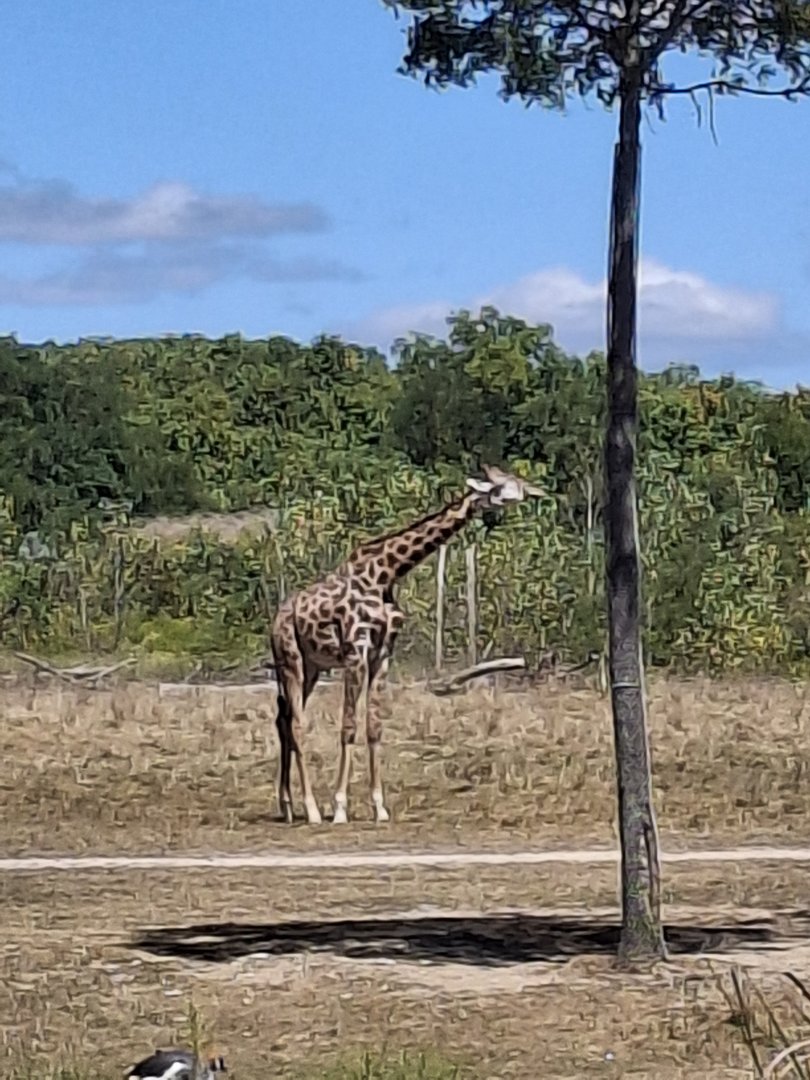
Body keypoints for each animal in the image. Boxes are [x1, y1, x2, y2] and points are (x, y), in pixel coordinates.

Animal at [268, 464, 543, 826]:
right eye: (502, 487)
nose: (534, 492)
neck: (386, 573)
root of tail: (276, 620)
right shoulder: (356, 650)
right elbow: (348, 726)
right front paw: (340, 808)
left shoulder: (382, 654)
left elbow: (374, 726)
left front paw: (379, 807)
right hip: (291, 660)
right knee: (297, 723)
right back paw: (312, 810)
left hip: (311, 667)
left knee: (283, 719)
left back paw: (287, 805)